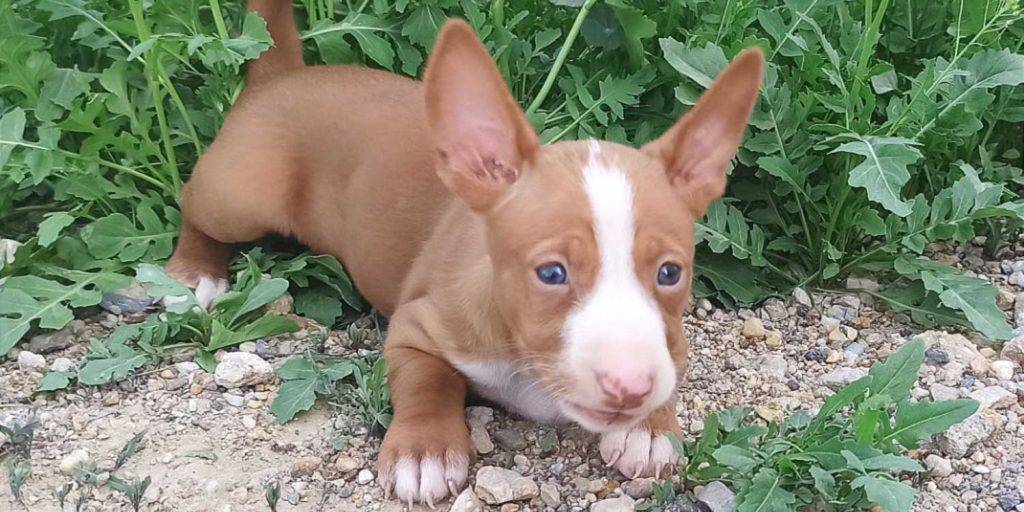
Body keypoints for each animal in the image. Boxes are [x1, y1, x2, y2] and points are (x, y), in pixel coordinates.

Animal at [163, 0, 765, 503]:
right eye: (551, 273)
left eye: (670, 273)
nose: (629, 387)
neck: (524, 358)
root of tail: (285, 73)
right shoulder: (415, 329)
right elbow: (426, 382)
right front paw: (424, 450)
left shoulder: (670, 340)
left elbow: (670, 365)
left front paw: (650, 429)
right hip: (241, 192)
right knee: (195, 207)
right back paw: (193, 274)